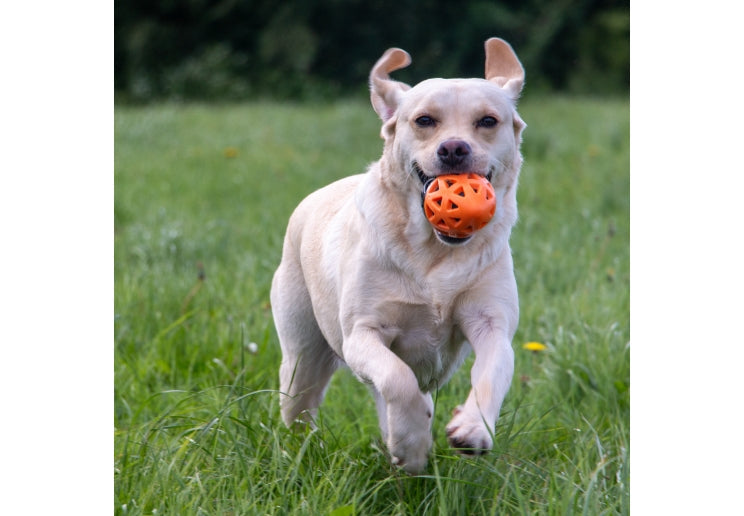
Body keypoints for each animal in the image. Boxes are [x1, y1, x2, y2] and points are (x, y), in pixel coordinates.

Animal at [270, 36, 528, 474]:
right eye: (424, 121)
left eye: (487, 121)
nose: (454, 148)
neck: (432, 251)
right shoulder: (362, 334)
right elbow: (396, 379)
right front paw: (410, 446)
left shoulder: (491, 321)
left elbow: (493, 371)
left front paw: (472, 429)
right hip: (302, 356)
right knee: (300, 408)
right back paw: (300, 457)